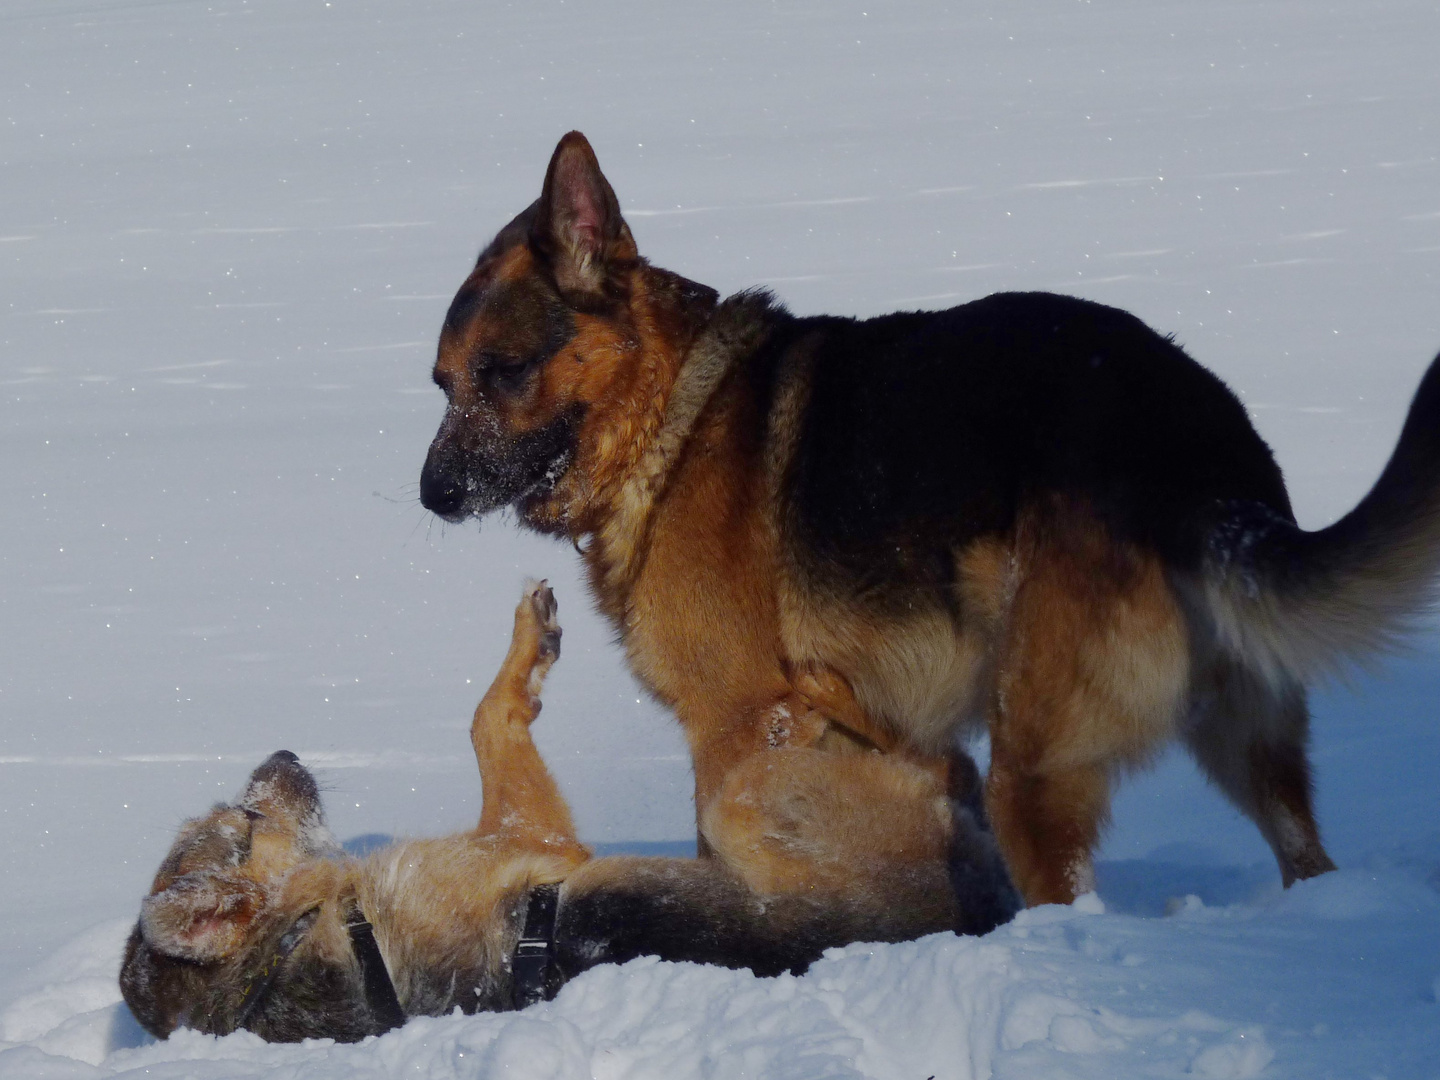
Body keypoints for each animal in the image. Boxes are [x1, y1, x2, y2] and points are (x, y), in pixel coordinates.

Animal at [120, 587, 1013, 1042]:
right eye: (245, 818)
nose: (284, 752)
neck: (309, 931)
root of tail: (976, 905)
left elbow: (486, 718)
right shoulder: (540, 837)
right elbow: (488, 718)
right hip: (745, 801)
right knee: (928, 753)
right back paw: (831, 689)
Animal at [417, 131, 1440, 910]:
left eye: (506, 371)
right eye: (440, 383)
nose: (431, 496)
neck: (670, 413)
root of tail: (1190, 443)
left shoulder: (738, 727)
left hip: (1034, 760)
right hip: (1244, 737)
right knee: (1304, 852)